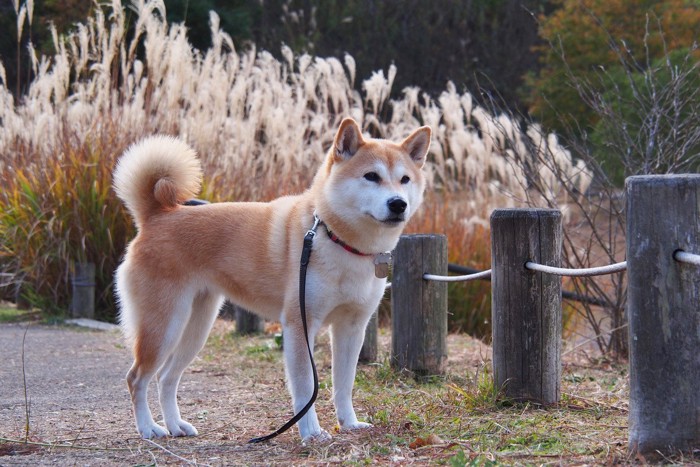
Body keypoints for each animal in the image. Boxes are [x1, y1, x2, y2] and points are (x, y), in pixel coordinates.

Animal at [113, 117, 432, 442]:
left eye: (405, 179)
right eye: (371, 176)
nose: (398, 204)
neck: (337, 239)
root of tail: (157, 216)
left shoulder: (352, 327)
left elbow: (344, 385)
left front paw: (349, 423)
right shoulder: (299, 324)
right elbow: (306, 387)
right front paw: (311, 432)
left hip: (196, 328)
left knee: (166, 377)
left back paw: (176, 425)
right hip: (164, 326)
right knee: (136, 378)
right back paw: (149, 428)